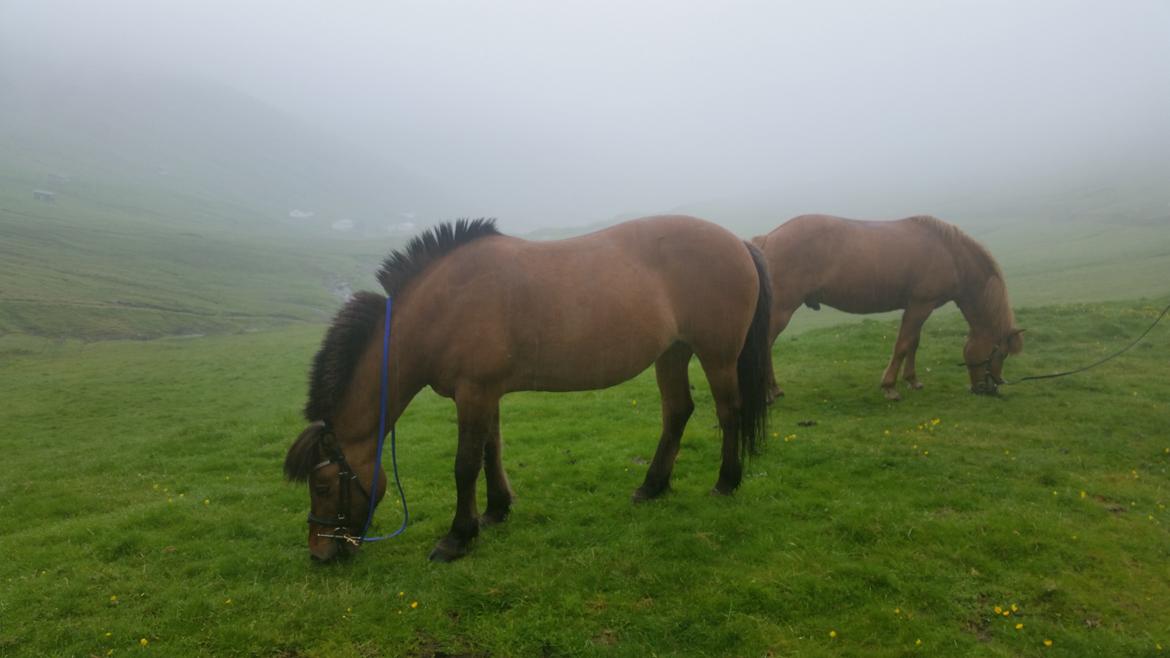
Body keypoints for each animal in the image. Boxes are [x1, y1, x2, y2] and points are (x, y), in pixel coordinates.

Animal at [285, 214, 776, 557]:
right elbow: (491, 451)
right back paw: (652, 487)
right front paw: (496, 510)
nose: (319, 553)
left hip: (717, 355)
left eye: (322, 486)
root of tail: (738, 242)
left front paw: (457, 537)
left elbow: (465, 464)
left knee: (728, 411)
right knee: (677, 412)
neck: (444, 306)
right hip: (672, 353)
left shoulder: (474, 393)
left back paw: (726, 482)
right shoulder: (485, 394)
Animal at [753, 215, 1020, 400]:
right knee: (765, 346)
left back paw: (774, 389)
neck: (951, 254)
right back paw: (768, 393)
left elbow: (913, 343)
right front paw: (890, 387)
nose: (991, 388)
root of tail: (768, 239)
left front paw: (912, 380)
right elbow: (902, 345)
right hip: (782, 311)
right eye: (1000, 353)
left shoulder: (918, 307)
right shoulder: (921, 305)